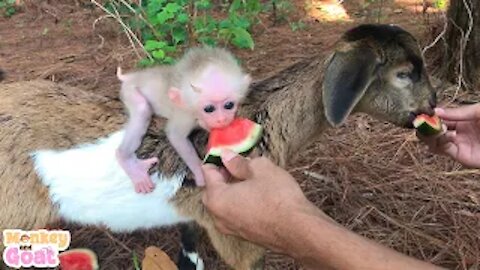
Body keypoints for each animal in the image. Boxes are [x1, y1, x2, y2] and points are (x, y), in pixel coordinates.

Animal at [116, 47, 251, 193]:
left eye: (229, 105)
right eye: (209, 109)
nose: (221, 119)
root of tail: (134, 76)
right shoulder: (185, 115)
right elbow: (176, 136)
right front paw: (200, 172)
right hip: (129, 91)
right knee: (142, 109)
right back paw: (125, 159)